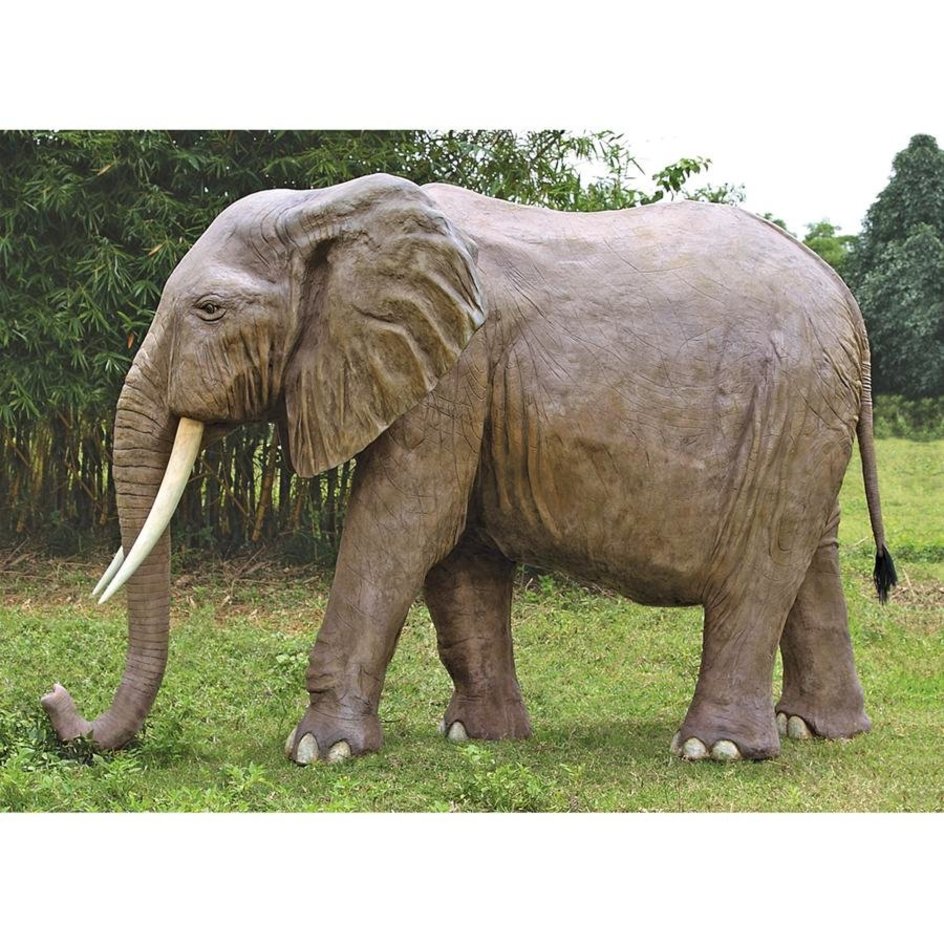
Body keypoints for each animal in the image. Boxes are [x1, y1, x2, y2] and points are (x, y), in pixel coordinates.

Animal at [42, 173, 897, 764]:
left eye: (211, 311)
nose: (54, 698)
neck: (331, 209)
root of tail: (846, 295)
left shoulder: (457, 370)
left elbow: (406, 523)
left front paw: (319, 752)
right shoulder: (465, 382)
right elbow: (457, 552)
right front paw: (478, 740)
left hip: (791, 400)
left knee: (763, 562)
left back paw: (714, 751)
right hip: (807, 411)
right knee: (812, 553)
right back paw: (824, 732)